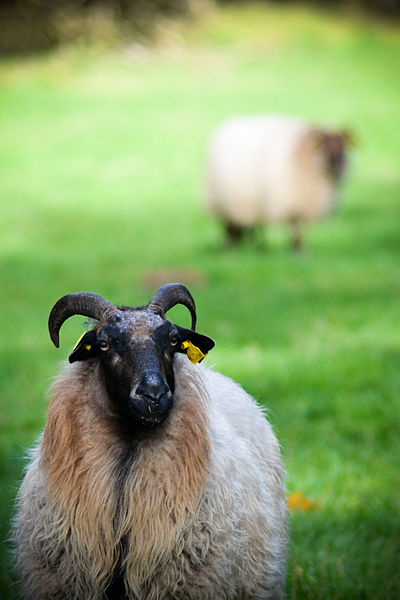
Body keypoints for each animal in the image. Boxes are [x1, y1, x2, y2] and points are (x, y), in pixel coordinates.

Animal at [206, 113, 354, 250]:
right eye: (323, 148)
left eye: (343, 148)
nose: (339, 168)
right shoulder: (290, 202)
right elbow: (296, 227)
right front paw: (299, 250)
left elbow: (298, 228)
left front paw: (300, 249)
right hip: (225, 202)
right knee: (232, 226)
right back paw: (234, 246)